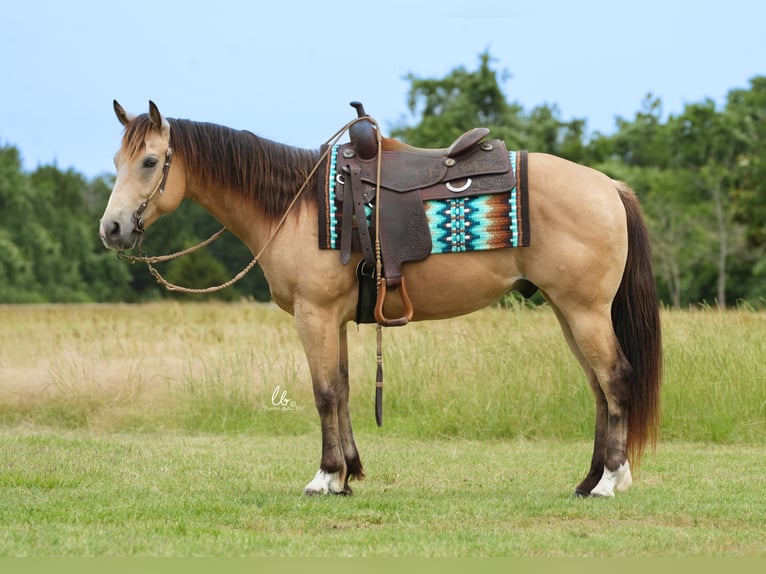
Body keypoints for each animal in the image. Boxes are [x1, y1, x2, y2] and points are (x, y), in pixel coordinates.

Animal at [99, 101, 664, 498]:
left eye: (149, 161)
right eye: (116, 160)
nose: (112, 228)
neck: (296, 207)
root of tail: (608, 186)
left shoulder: (314, 316)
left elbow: (324, 392)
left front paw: (325, 477)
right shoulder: (335, 320)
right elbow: (344, 389)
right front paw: (348, 473)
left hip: (585, 312)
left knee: (616, 379)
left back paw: (611, 482)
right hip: (569, 311)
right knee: (598, 388)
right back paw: (589, 480)